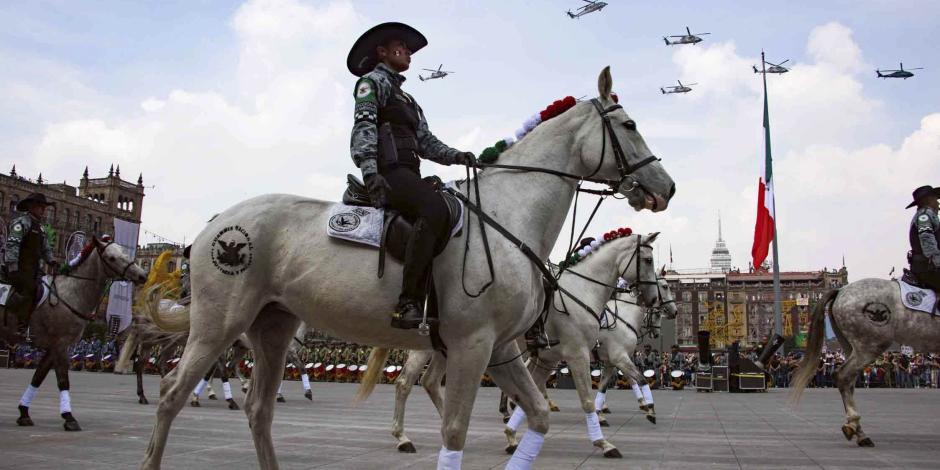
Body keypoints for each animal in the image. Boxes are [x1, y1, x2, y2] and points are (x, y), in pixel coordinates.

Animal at [141, 67, 676, 470]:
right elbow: (457, 431)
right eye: (630, 125)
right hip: (219, 323)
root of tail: (216, 223)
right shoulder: (482, 345)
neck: (507, 215)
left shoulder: (504, 350)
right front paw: (604, 436)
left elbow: (541, 413)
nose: (666, 187)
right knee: (171, 393)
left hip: (272, 326)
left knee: (259, 409)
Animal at [788, 280, 936, 448]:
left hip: (851, 345)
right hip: (870, 343)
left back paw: (857, 430)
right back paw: (856, 428)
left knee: (849, 381)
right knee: (843, 376)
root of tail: (840, 290)